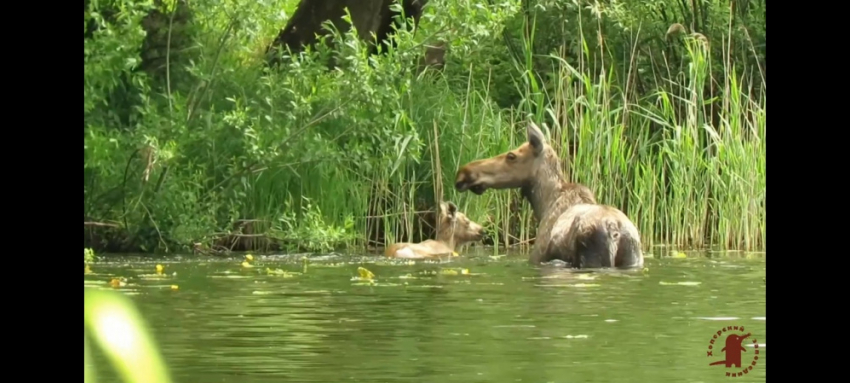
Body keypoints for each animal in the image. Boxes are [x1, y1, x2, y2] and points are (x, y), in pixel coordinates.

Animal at [454, 121, 640, 270]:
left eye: (511, 156)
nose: (464, 173)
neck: (543, 204)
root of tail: (614, 231)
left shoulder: (537, 256)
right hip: (633, 259)